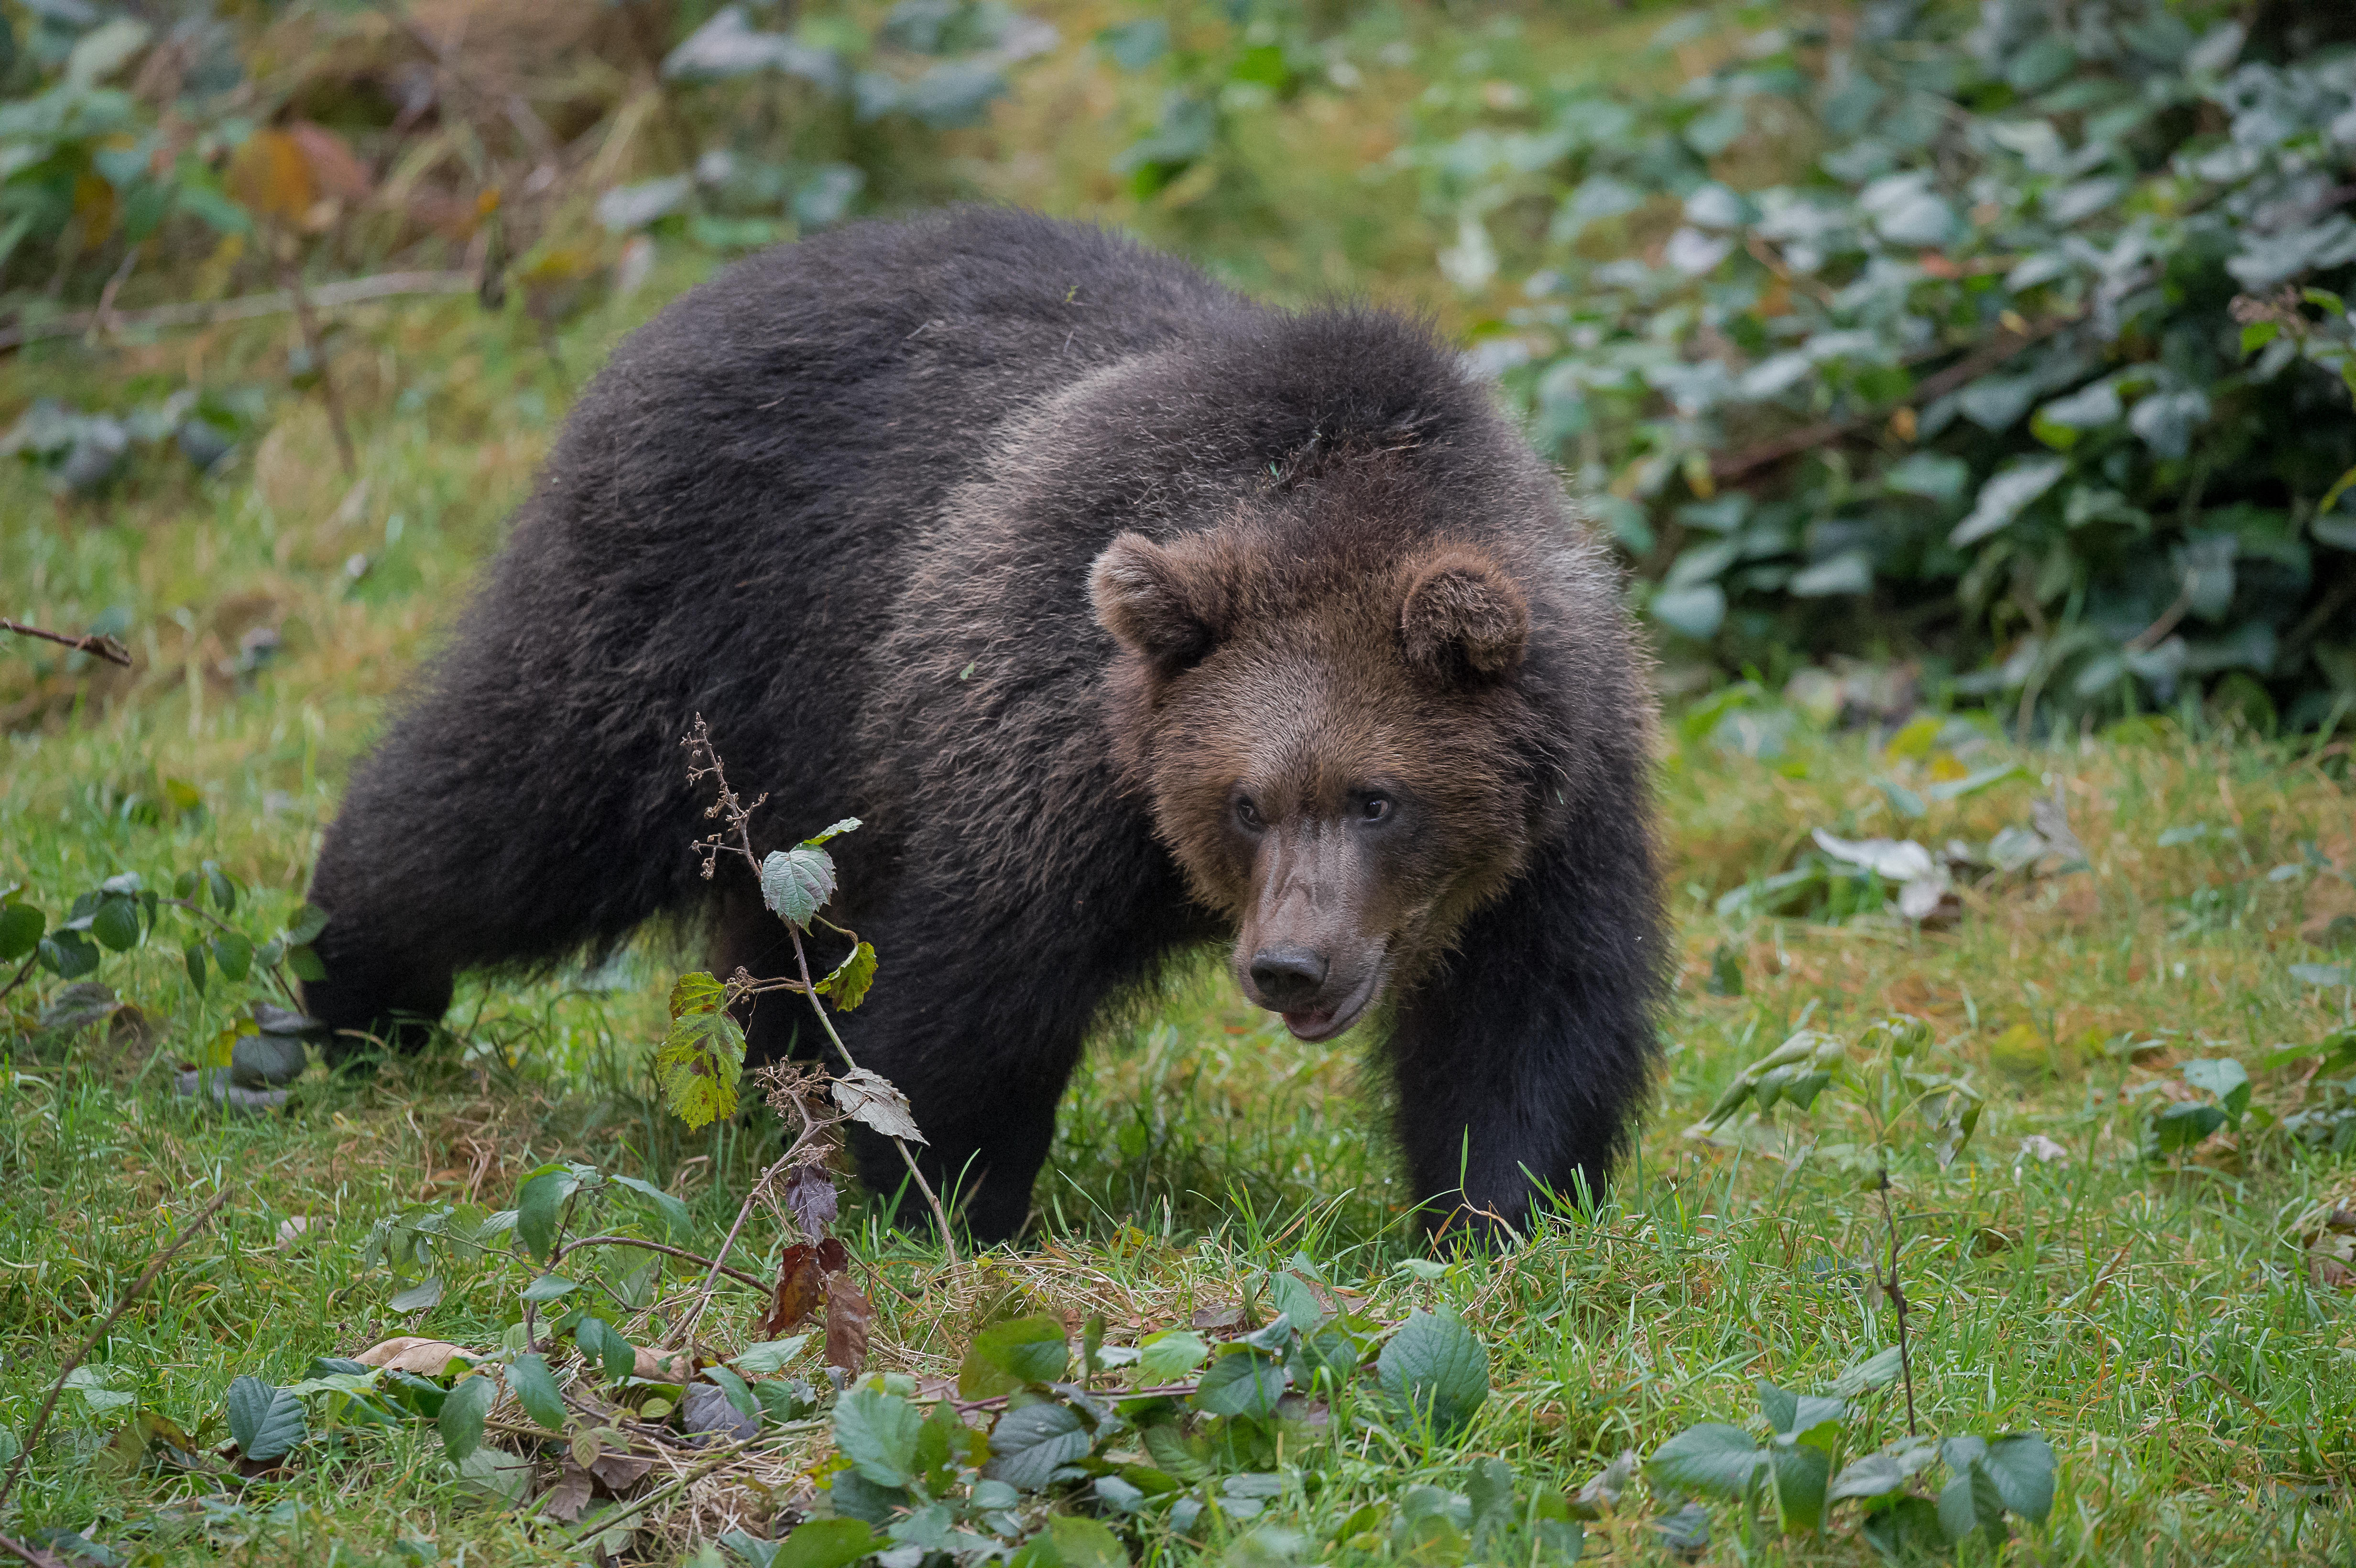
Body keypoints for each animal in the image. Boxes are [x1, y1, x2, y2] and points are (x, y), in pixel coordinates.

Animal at [304, 207, 1668, 1243]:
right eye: (1245, 799)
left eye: (1378, 797)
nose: (1291, 963)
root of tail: (696, 295)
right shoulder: (1045, 738)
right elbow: (975, 989)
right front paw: (952, 1199)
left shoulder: (1562, 807)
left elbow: (1531, 1018)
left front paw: (1495, 1213)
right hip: (695, 634)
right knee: (517, 806)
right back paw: (354, 987)